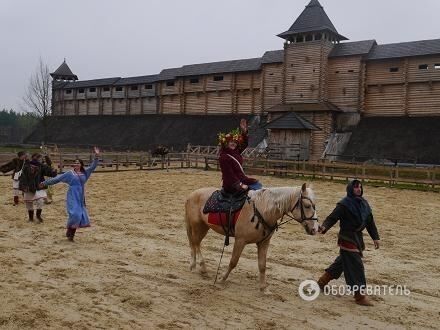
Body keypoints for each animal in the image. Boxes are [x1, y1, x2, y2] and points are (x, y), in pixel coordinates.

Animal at [184, 183, 318, 292]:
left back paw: (195, 265)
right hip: (197, 226)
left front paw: (263, 288)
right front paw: (222, 279)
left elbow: (262, 265)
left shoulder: (264, 242)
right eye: (307, 205)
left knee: (195, 244)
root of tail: (192, 194)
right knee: (195, 243)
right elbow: (233, 261)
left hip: (204, 227)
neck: (262, 210)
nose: (315, 229)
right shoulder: (240, 240)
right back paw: (201, 267)